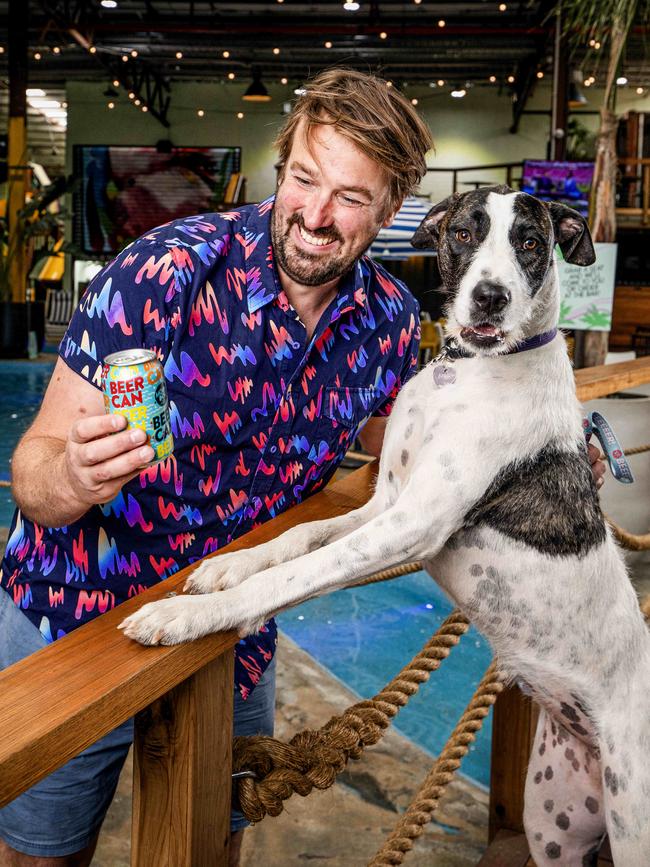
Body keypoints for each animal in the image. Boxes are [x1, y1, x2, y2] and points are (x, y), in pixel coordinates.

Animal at [120, 186, 648, 864]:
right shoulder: (384, 502)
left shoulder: (410, 524)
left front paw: (189, 614)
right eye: (464, 233)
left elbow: (294, 575)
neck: (469, 371)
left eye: (531, 242)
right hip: (552, 821)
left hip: (632, 822)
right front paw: (226, 565)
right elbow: (296, 539)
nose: (490, 297)